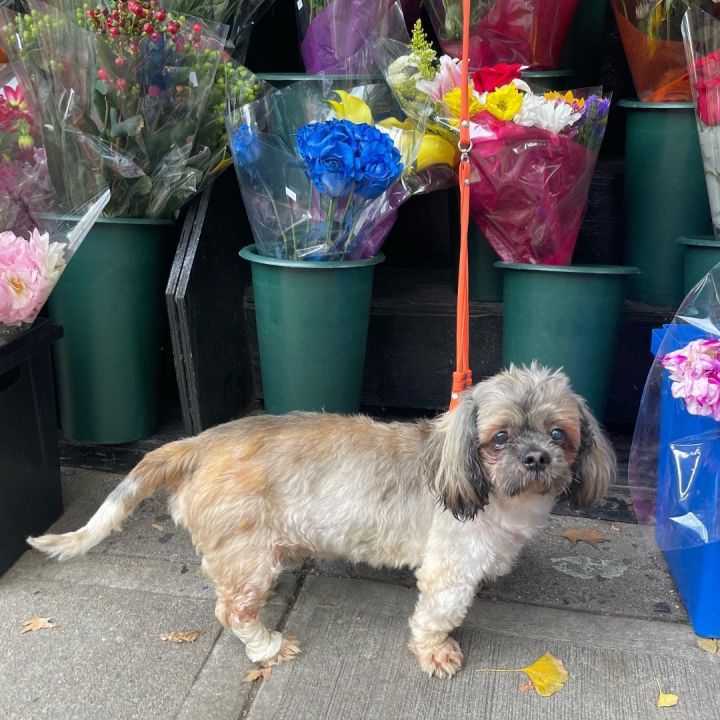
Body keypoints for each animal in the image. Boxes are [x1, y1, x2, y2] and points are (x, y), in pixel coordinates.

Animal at [26, 366, 612, 680]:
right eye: (500, 438)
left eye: (558, 434)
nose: (536, 457)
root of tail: (200, 443)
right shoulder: (448, 572)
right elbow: (436, 617)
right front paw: (437, 651)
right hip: (247, 558)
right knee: (232, 610)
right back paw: (266, 645)